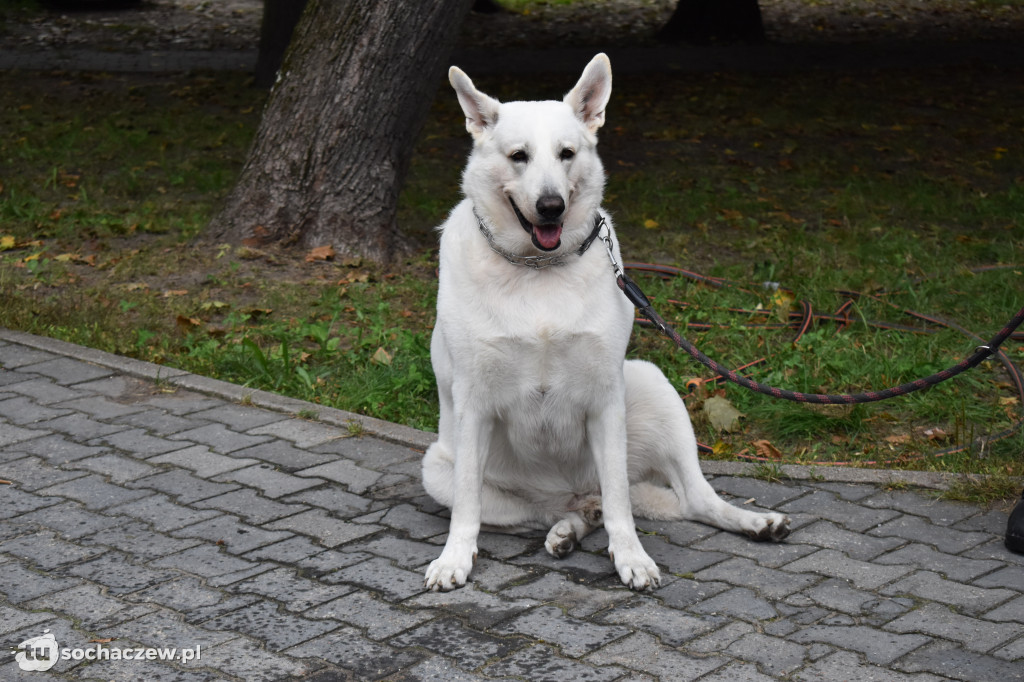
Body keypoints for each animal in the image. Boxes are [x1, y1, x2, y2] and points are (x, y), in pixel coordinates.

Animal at [419, 53, 786, 589]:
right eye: (518, 156)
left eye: (567, 153)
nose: (551, 206)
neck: (538, 269)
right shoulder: (473, 404)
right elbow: (467, 506)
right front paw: (454, 559)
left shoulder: (605, 401)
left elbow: (620, 505)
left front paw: (630, 557)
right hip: (438, 469)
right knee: (552, 510)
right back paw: (566, 530)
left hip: (652, 387)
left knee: (683, 499)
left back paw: (754, 523)